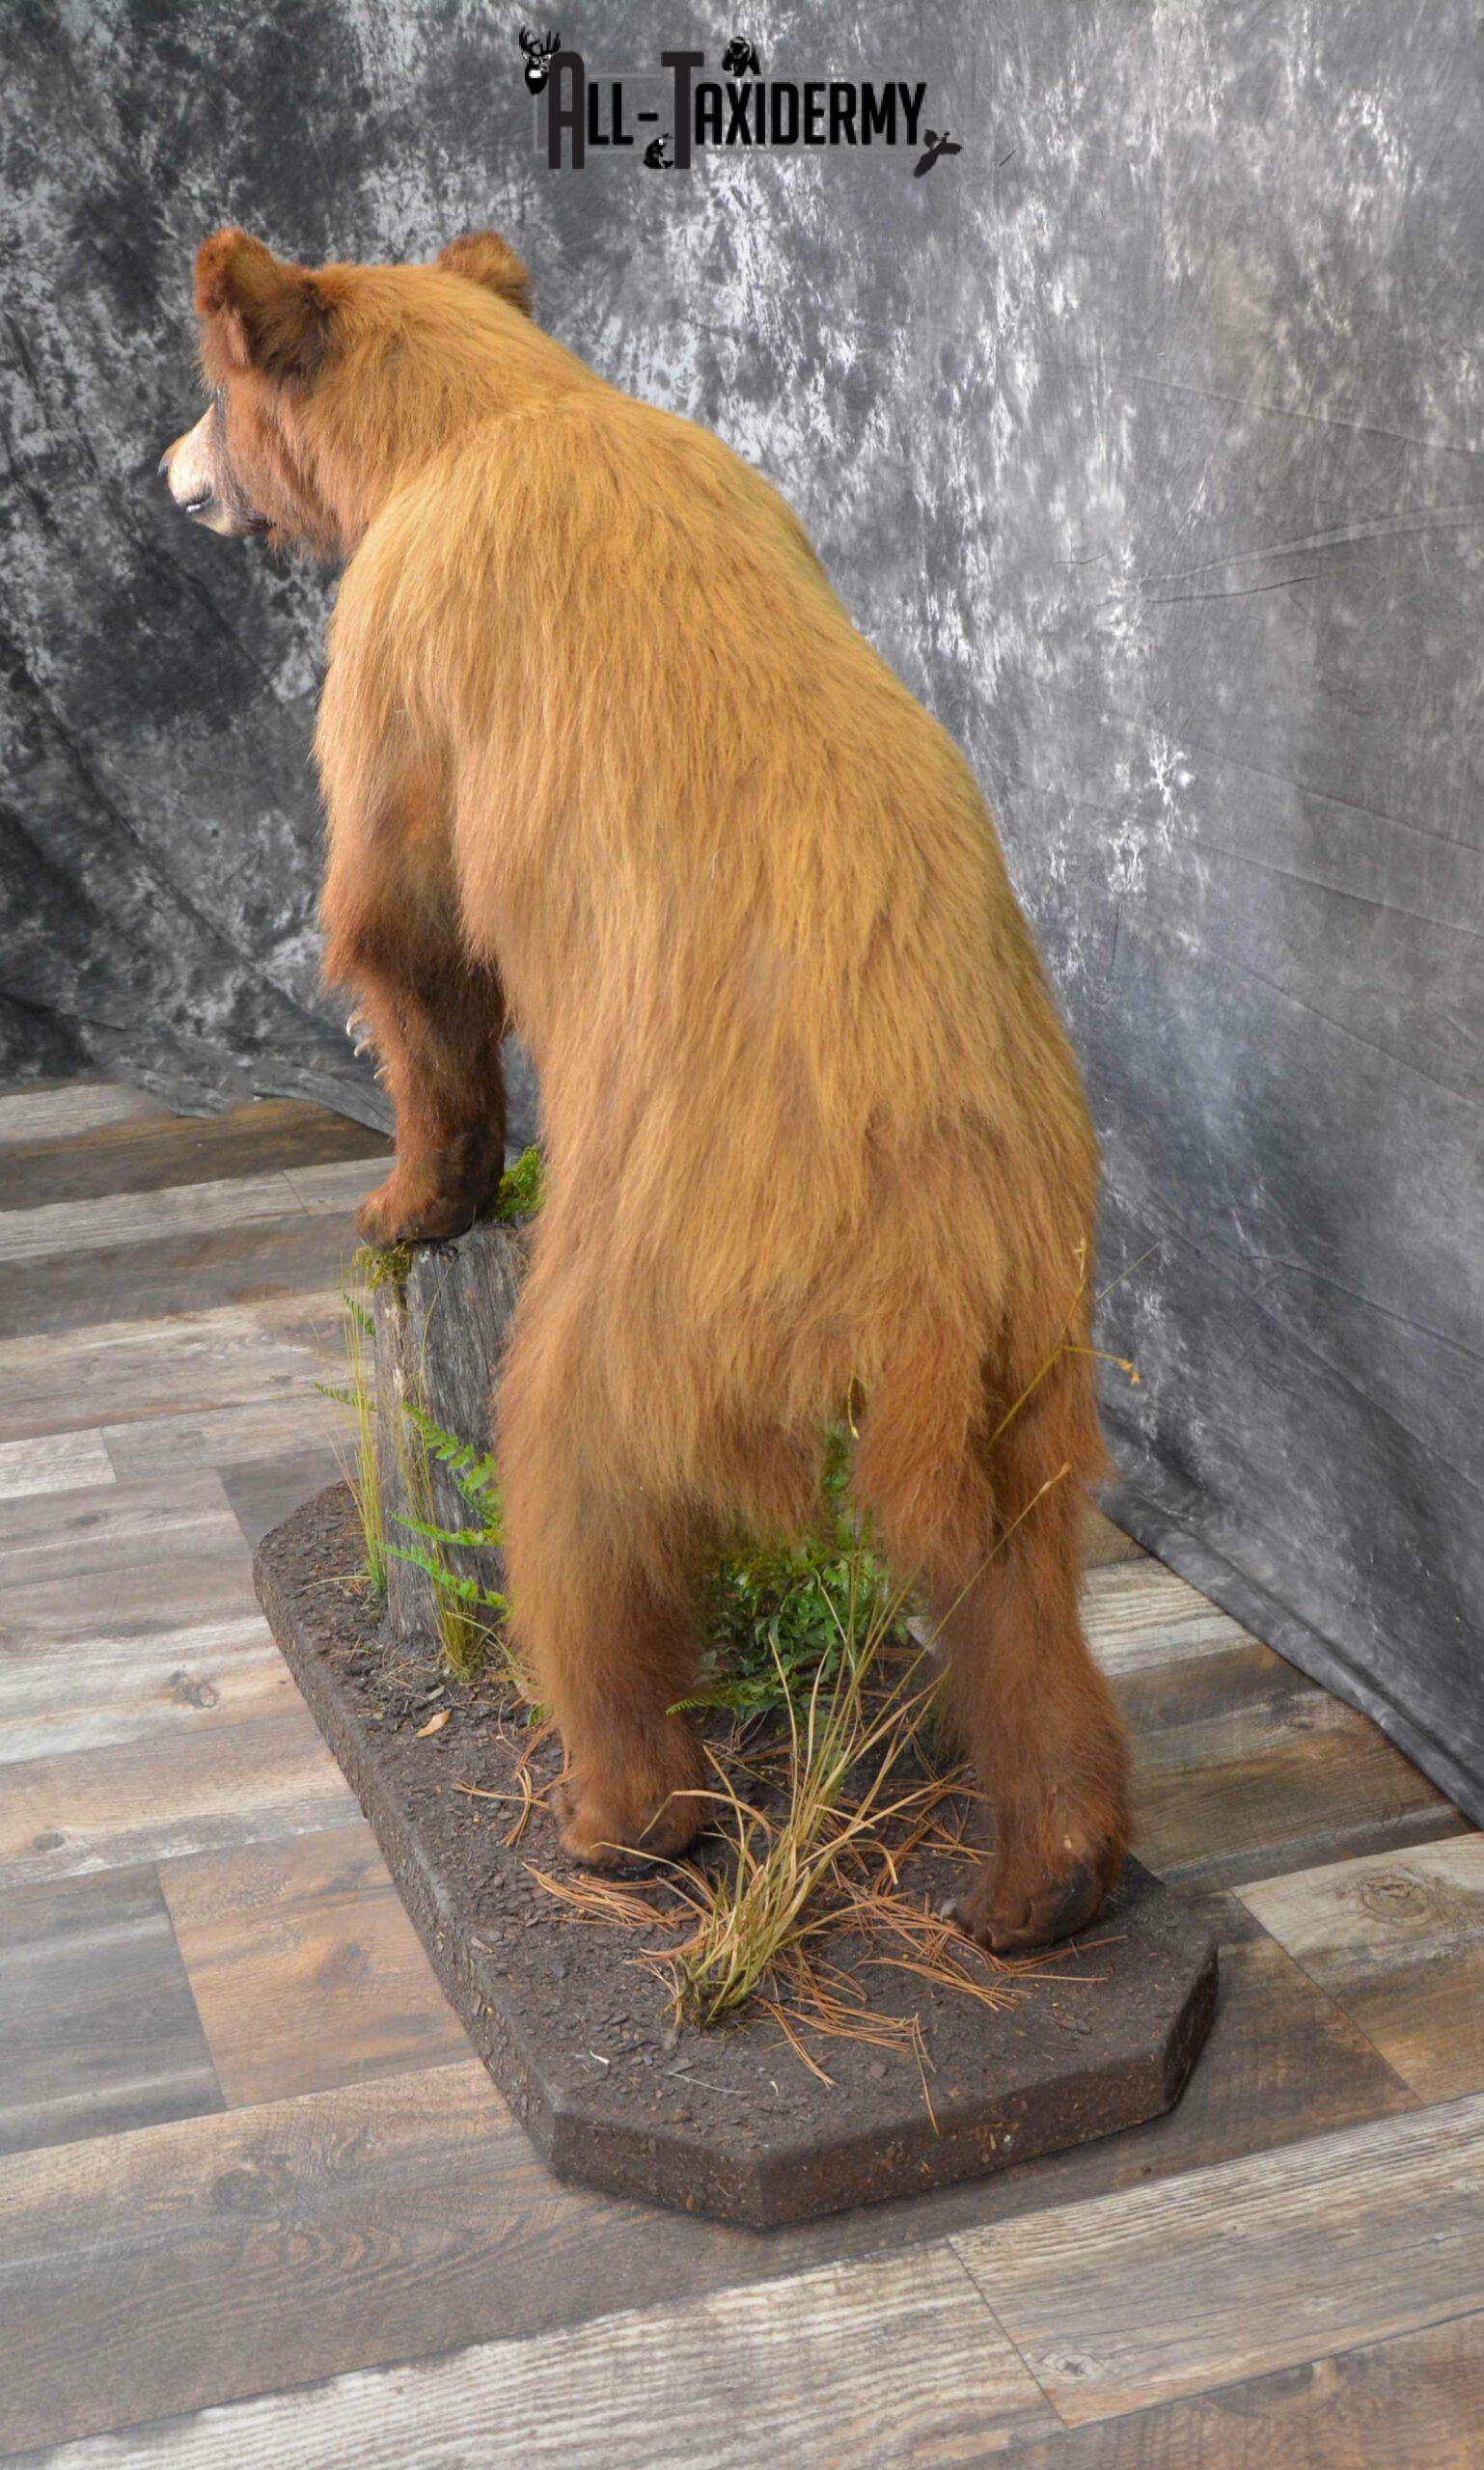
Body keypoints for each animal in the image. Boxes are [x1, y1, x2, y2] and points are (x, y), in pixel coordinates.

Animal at [161, 225, 1130, 1951]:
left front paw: (406, 1198)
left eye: (212, 390)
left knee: (582, 1516)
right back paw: (1046, 1874)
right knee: (1010, 1569)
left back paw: (622, 1815)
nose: (169, 466)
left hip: (643, 1298)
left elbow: (406, 929)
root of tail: (922, 1254)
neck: (483, 421)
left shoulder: (405, 653)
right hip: (1031, 1332)